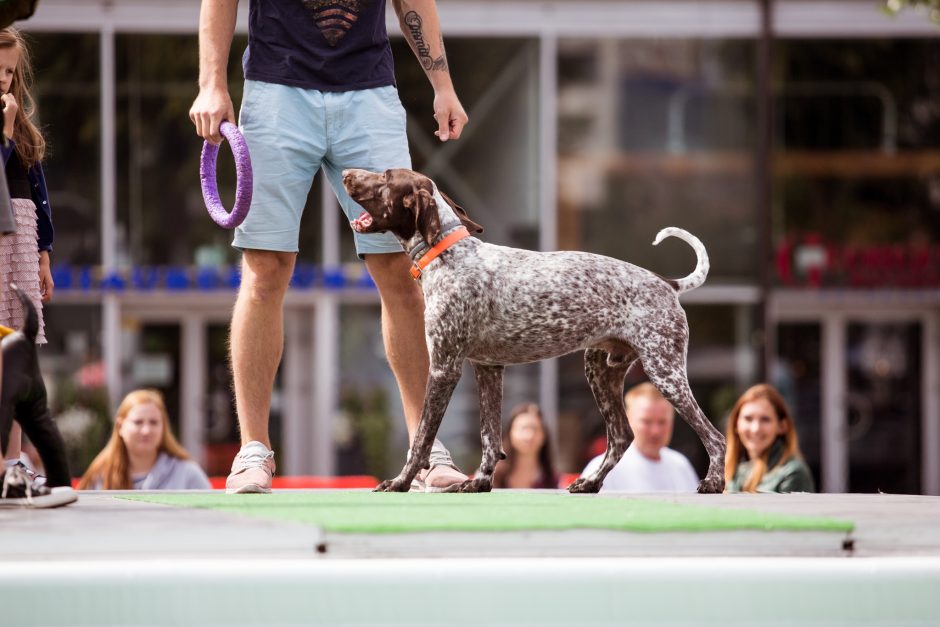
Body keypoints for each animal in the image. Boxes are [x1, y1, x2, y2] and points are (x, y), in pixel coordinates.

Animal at [342, 168, 724, 496]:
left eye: (386, 176)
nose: (345, 173)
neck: (449, 254)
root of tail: (667, 283)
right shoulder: (488, 368)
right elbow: (489, 437)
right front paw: (479, 482)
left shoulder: (444, 368)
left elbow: (421, 439)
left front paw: (400, 482)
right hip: (601, 371)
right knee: (621, 436)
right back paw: (589, 483)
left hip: (665, 372)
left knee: (715, 437)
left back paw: (713, 483)